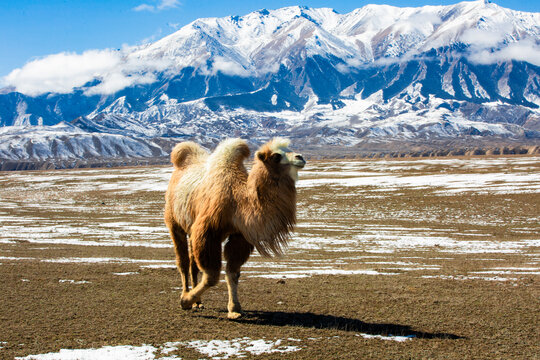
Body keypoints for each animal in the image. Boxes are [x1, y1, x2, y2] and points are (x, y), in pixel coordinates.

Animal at [162, 138, 306, 318]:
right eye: (276, 156)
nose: (300, 157)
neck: (237, 200)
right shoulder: (207, 231)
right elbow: (211, 276)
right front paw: (185, 301)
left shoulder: (239, 236)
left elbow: (233, 272)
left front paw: (235, 308)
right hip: (174, 223)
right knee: (183, 261)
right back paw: (186, 294)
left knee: (193, 263)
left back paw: (198, 302)